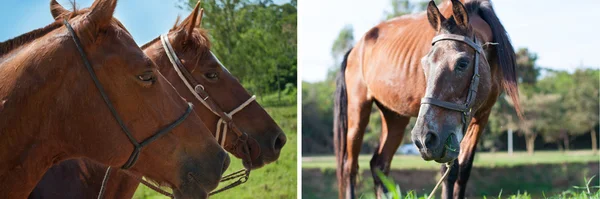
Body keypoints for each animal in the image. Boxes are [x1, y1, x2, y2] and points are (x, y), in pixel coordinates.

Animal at [332, 0, 520, 198]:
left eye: (462, 63)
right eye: (424, 63)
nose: (423, 138)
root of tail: (355, 49)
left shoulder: (481, 116)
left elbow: (463, 171)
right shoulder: (447, 136)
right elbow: (449, 172)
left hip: (395, 117)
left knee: (379, 165)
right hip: (357, 113)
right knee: (349, 167)